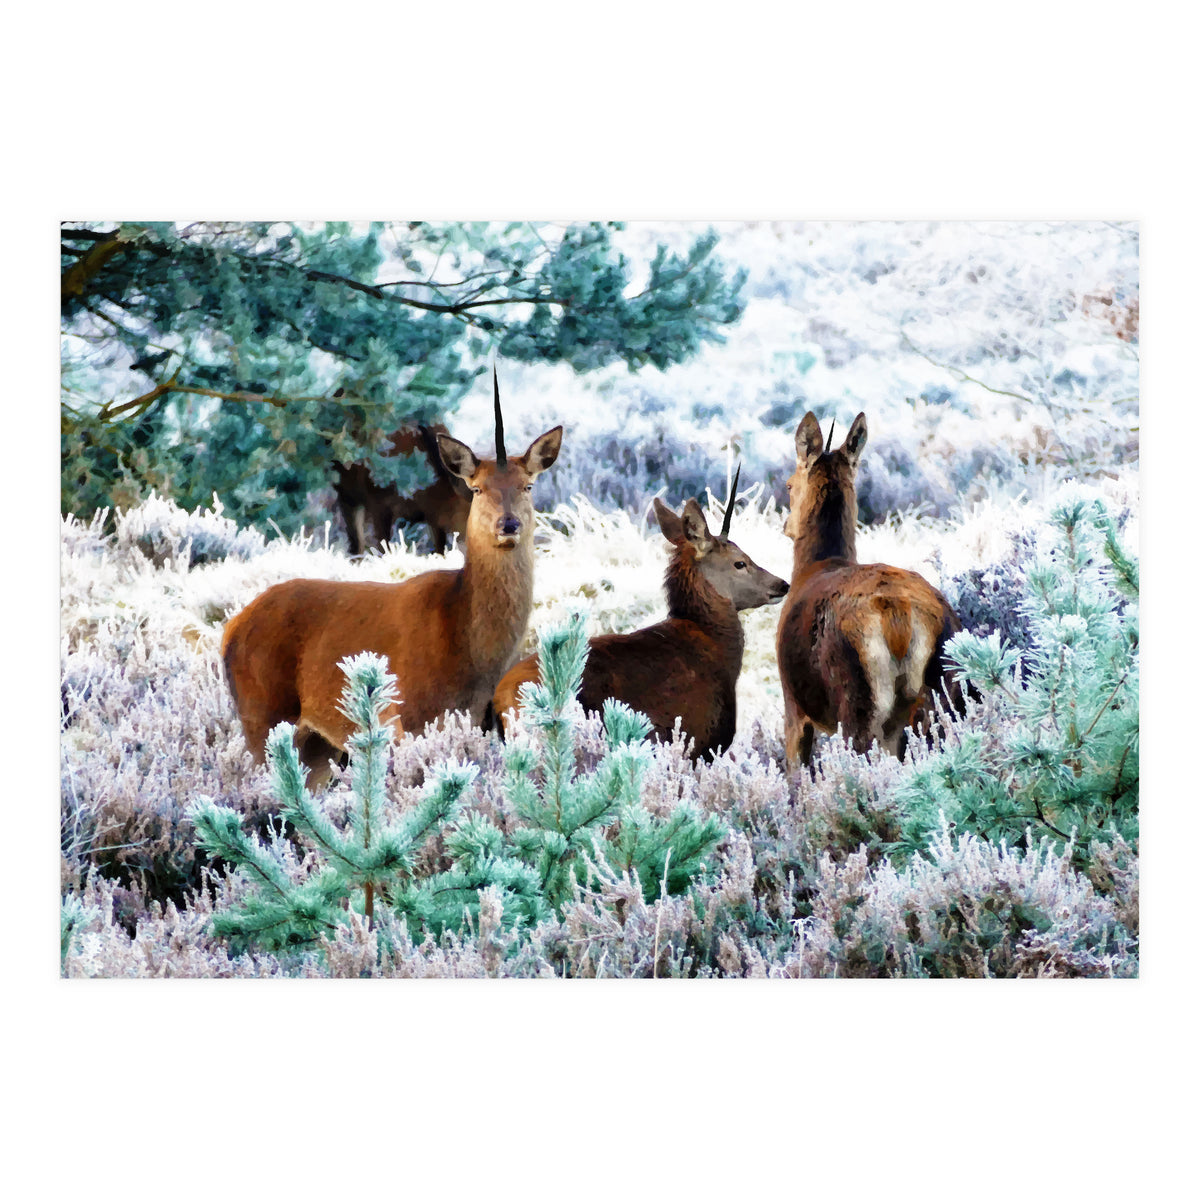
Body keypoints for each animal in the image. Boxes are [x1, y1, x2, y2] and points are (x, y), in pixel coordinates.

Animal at [334, 423, 472, 557]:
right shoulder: (377, 503)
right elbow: (384, 548)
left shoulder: (433, 518)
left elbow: (439, 551)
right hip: (347, 494)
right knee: (356, 541)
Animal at [776, 411, 963, 769]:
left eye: (789, 484)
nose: (785, 526)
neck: (813, 567)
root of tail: (899, 617)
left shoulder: (793, 705)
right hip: (947, 688)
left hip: (857, 698)